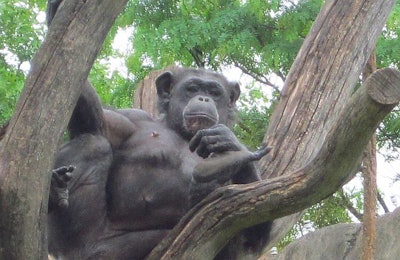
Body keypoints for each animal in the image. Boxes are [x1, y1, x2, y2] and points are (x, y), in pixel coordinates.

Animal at [47, 67, 272, 258]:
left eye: (214, 92)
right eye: (192, 88)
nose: (203, 97)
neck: (183, 132)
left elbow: (251, 234)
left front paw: (229, 142)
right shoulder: (129, 118)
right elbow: (96, 122)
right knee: (93, 143)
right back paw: (56, 193)